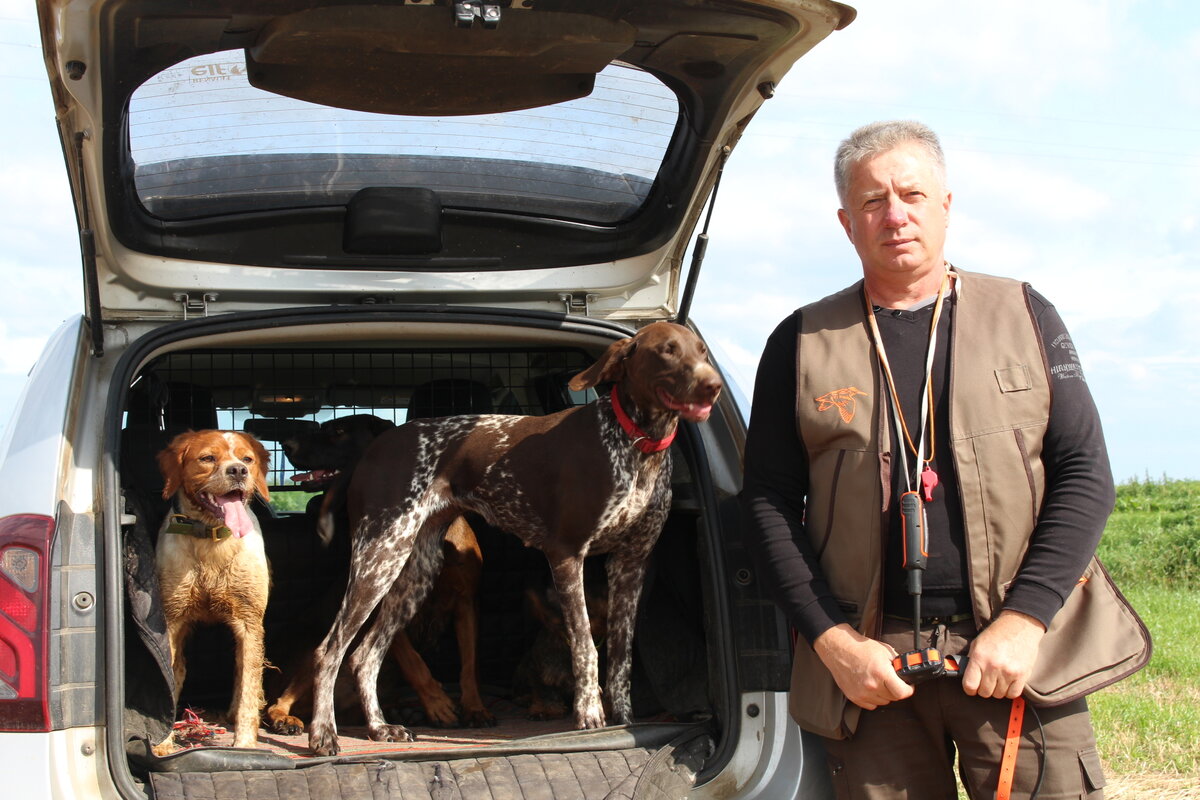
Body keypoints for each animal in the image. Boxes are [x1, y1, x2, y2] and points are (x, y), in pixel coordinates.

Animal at [154, 431, 272, 753]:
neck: (212, 537)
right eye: (207, 458)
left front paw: (245, 745)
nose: (238, 471)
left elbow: (247, 686)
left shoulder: (249, 621)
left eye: (247, 459)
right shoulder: (172, 619)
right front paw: (163, 743)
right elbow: (167, 680)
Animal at [309, 321, 720, 753]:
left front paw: (624, 721)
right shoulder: (566, 555)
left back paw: (379, 727)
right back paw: (323, 733)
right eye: (666, 351)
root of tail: (373, 450)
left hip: (413, 570)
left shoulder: (630, 564)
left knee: (365, 656)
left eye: (702, 351)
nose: (714, 386)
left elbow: (621, 654)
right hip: (378, 558)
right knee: (330, 650)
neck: (635, 444)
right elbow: (584, 644)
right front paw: (590, 714)